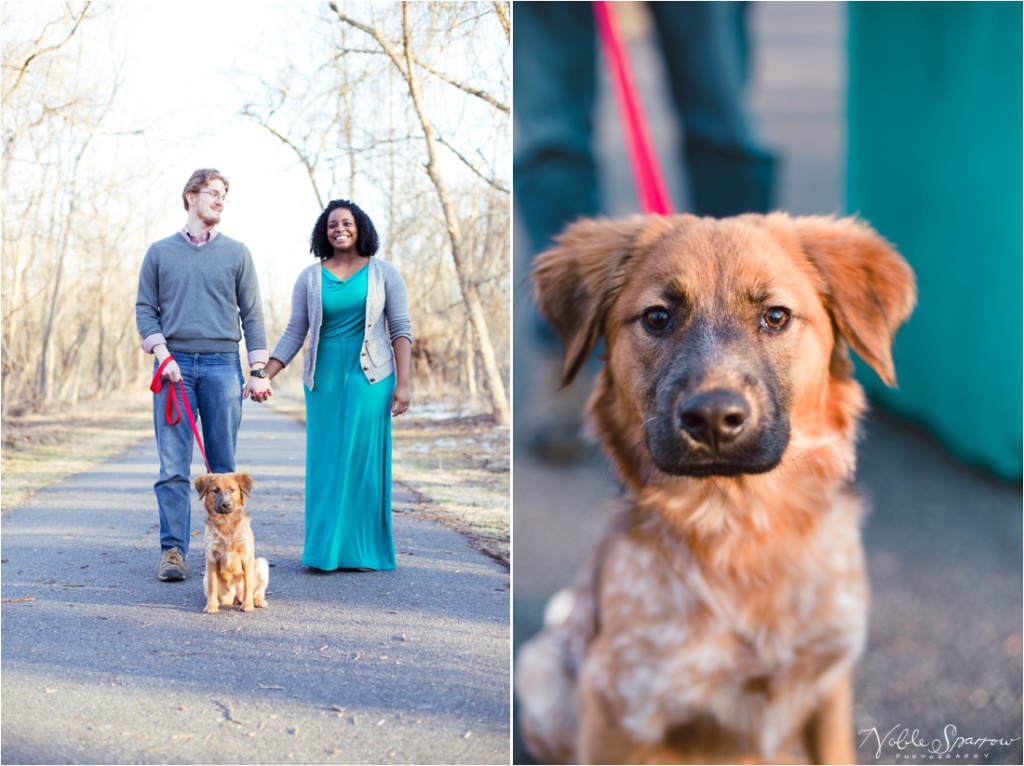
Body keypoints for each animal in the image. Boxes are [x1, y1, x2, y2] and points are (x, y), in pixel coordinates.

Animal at [192, 475, 268, 614]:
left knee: (255, 592)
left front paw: (247, 605)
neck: (226, 522)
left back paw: (256, 601)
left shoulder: (246, 555)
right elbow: (212, 585)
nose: (226, 504)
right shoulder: (211, 557)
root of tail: (235, 596)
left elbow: (248, 584)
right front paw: (211, 606)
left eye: (232, 489)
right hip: (206, 577)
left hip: (261, 563)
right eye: (215, 490)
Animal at [516, 211, 917, 761]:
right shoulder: (616, 708)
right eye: (658, 317)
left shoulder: (829, 684)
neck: (742, 526)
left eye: (776, 316)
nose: (711, 418)